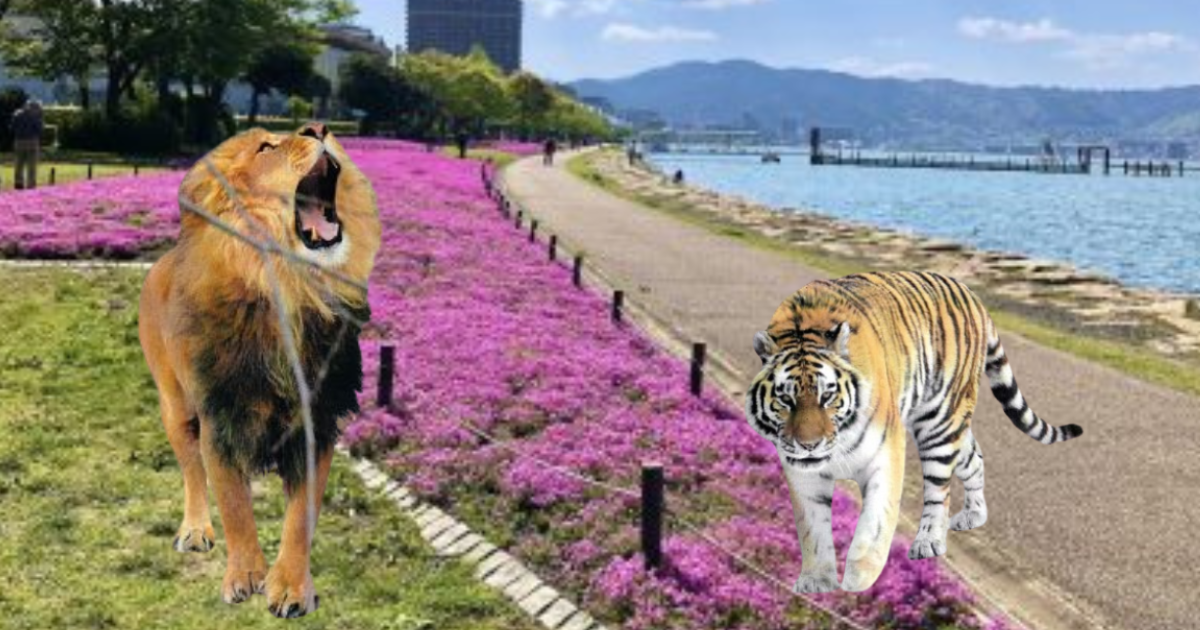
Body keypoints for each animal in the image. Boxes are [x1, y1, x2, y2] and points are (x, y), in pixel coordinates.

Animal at [745, 271, 1082, 593]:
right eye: (785, 399)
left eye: (827, 396)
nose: (809, 445)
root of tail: (972, 295)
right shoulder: (803, 475)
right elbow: (812, 529)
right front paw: (817, 581)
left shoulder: (884, 455)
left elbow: (874, 525)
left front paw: (859, 581)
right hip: (951, 424)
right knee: (974, 457)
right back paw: (974, 514)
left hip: (940, 423)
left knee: (938, 491)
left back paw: (929, 541)